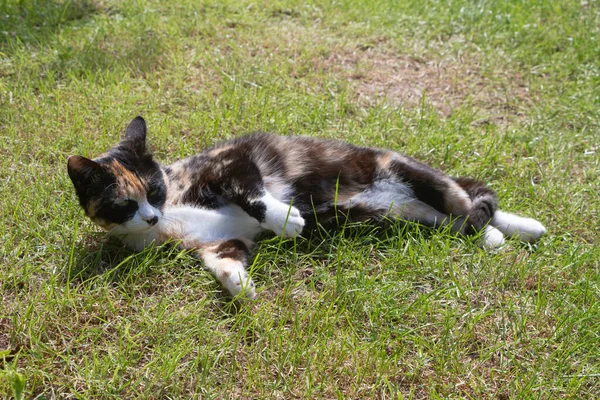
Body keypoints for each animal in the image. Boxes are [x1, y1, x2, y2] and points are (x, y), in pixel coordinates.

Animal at [68, 117, 548, 298]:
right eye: (124, 204)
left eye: (153, 189)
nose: (151, 215)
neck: (172, 212)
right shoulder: (222, 240)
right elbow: (225, 260)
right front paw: (239, 284)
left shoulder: (230, 161)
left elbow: (251, 189)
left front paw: (284, 218)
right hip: (406, 217)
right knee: (457, 219)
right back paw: (510, 232)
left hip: (411, 174)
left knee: (468, 200)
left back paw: (510, 228)